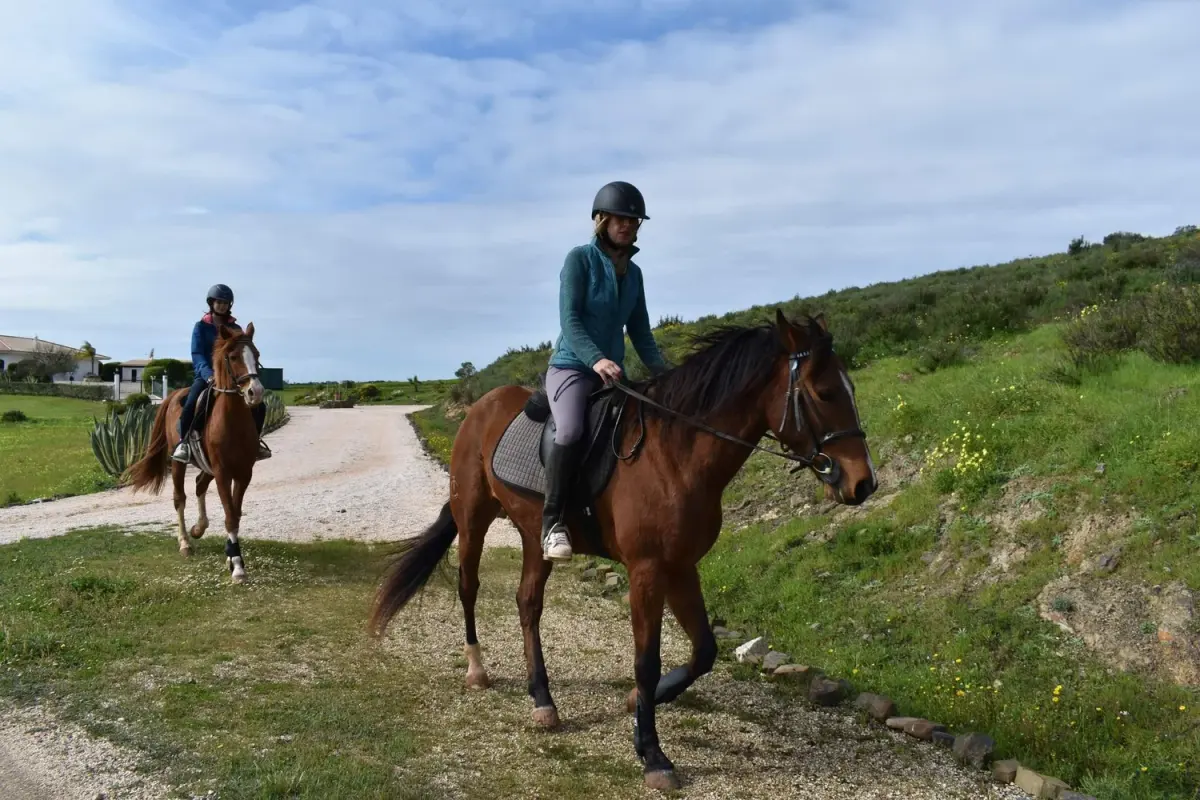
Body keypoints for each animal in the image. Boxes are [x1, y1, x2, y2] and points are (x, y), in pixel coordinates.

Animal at [126, 323, 266, 583]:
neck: (233, 421)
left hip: (207, 467)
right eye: (233, 357)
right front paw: (237, 565)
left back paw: (199, 528)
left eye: (257, 355)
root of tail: (174, 395)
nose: (256, 392)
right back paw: (185, 542)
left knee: (200, 485)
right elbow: (230, 516)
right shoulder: (223, 473)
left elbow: (235, 514)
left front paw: (231, 556)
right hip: (179, 464)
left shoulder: (243, 473)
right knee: (179, 498)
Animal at [368, 310, 877, 790]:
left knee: (528, 604)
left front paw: (639, 701)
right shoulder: (647, 570)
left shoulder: (681, 567)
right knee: (469, 588)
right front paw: (652, 754)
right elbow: (646, 661)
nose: (863, 484)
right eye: (824, 392)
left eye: (851, 388)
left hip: (534, 535)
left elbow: (704, 651)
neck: (674, 455)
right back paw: (477, 670)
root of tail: (480, 407)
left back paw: (542, 699)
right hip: (472, 519)